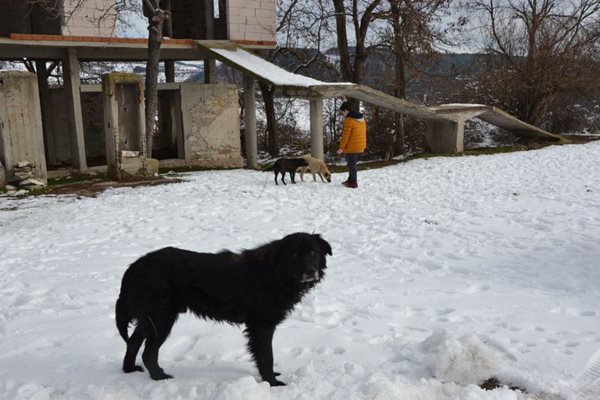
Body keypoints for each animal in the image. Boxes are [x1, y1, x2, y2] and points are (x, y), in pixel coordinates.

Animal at [116, 233, 332, 386]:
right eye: (294, 254)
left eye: (313, 252)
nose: (311, 272)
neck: (274, 273)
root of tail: (132, 268)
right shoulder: (261, 326)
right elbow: (266, 356)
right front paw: (272, 382)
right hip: (161, 318)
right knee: (148, 353)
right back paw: (159, 377)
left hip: (151, 318)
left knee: (133, 341)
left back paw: (129, 369)